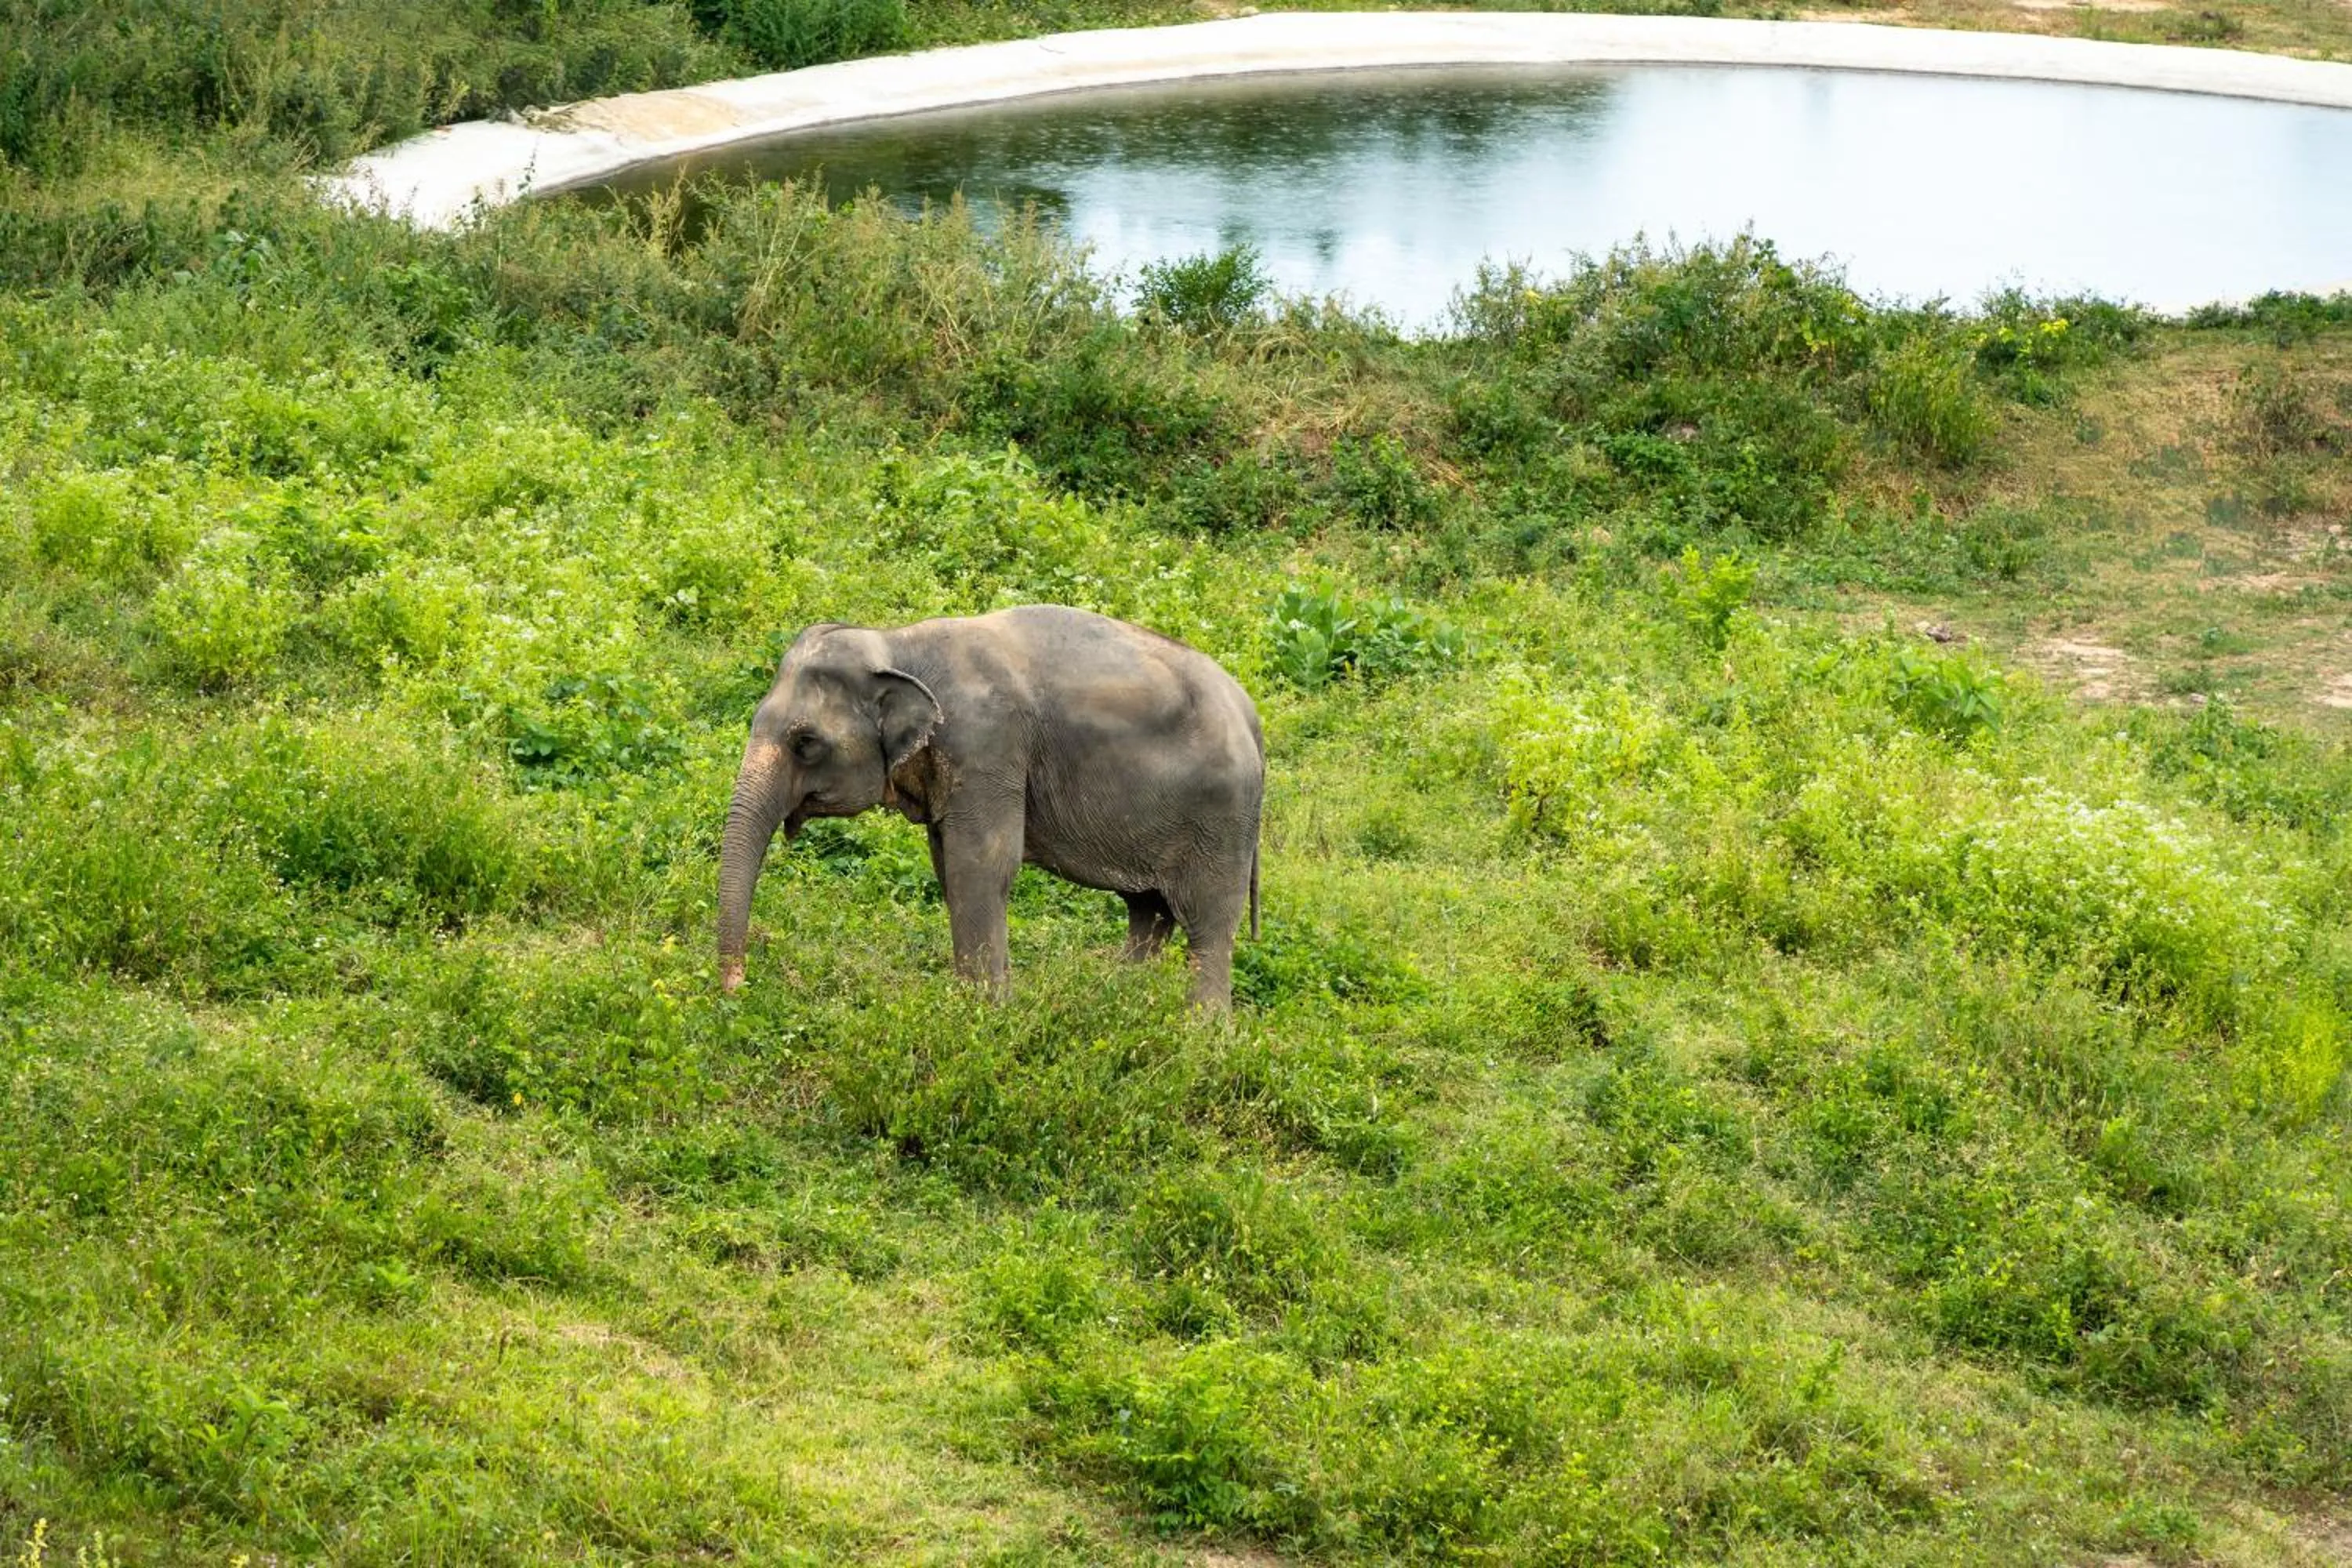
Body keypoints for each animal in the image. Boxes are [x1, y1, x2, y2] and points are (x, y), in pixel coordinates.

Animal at [718, 604, 1265, 1010]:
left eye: (806, 742)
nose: (738, 986)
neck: (897, 643)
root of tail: (1250, 714)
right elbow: (949, 869)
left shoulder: (986, 746)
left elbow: (981, 865)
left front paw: (985, 1016)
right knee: (1149, 913)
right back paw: (1118, 1004)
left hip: (1223, 820)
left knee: (1209, 924)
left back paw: (1201, 1037)